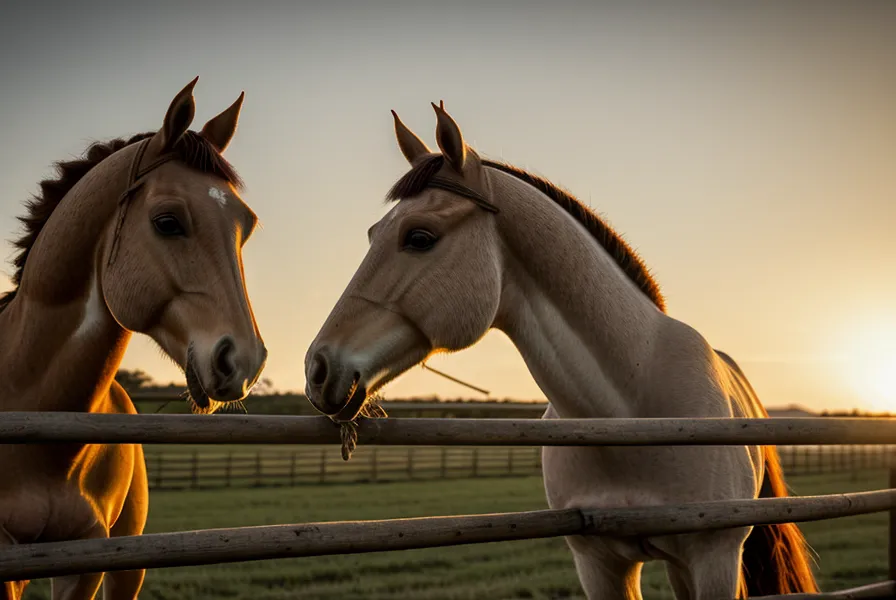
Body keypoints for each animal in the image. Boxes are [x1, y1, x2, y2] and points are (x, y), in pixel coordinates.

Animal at [302, 102, 819, 599]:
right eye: (373, 234)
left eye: (419, 237)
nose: (316, 368)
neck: (632, 409)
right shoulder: (599, 565)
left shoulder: (714, 557)